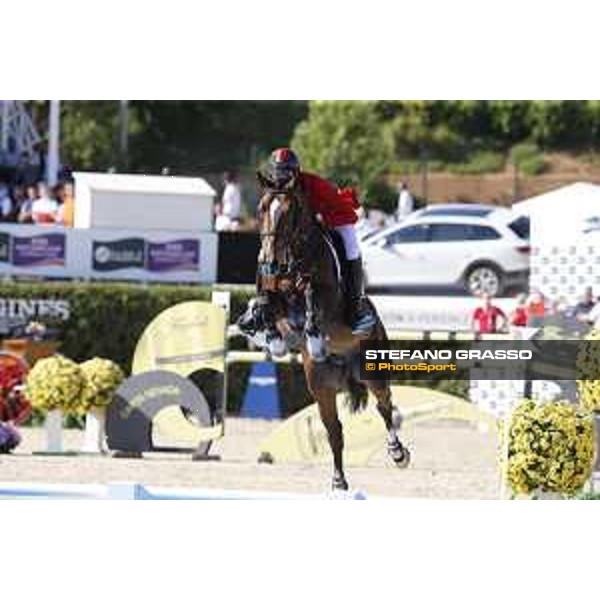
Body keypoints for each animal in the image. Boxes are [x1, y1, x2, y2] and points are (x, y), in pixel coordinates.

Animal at [241, 173, 411, 491]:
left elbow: (311, 294)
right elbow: (270, 301)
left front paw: (314, 333)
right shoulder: (274, 292)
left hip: (373, 371)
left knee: (385, 406)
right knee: (334, 430)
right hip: (322, 388)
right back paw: (338, 481)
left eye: (288, 213)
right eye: (261, 209)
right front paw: (269, 332)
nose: (269, 259)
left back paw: (398, 453)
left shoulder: (326, 297)